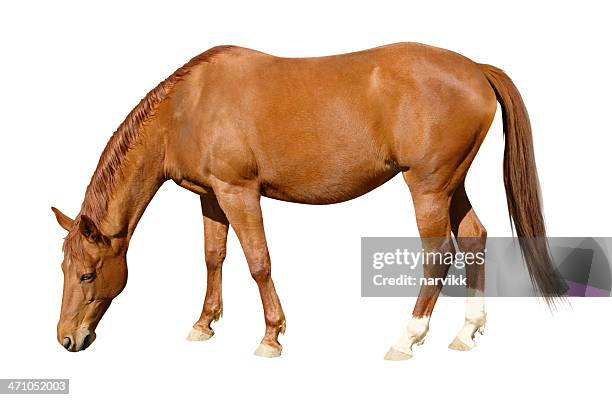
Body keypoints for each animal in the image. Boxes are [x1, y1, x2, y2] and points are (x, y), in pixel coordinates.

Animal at [51, 43, 564, 360]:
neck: (187, 107)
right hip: (451, 184)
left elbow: (258, 261)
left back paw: (407, 339)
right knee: (475, 237)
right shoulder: (211, 197)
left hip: (429, 187)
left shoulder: (239, 192)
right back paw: (466, 333)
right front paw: (204, 324)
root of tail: (476, 69)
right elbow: (214, 257)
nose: (67, 339)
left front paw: (271, 337)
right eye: (63, 269)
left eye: (87, 274)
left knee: (438, 255)